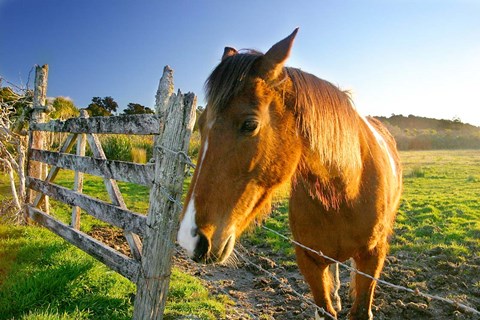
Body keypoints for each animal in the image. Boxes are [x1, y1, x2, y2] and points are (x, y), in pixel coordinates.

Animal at [176, 28, 402, 318]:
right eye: (201, 125)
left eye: (249, 124)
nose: (190, 238)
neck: (347, 192)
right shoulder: (308, 259)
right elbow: (324, 307)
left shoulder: (372, 257)